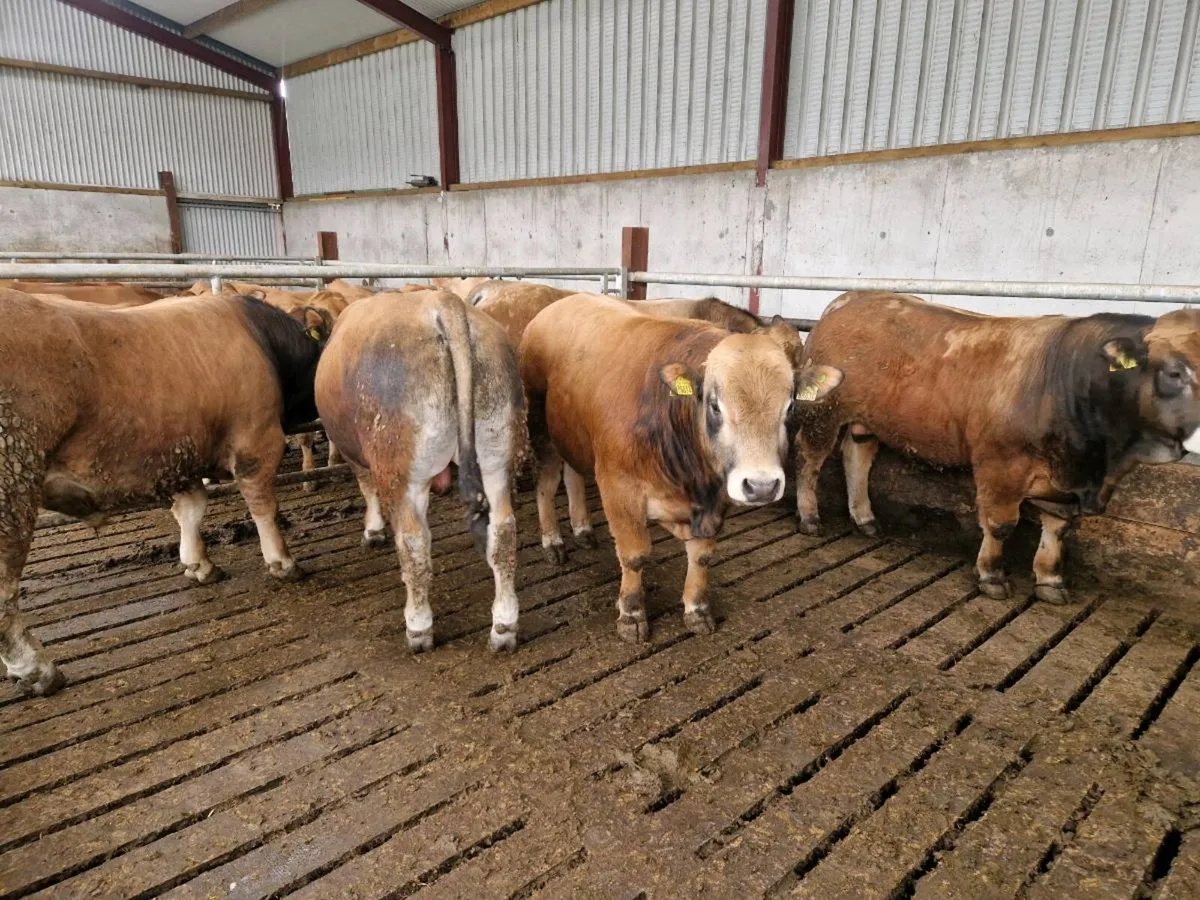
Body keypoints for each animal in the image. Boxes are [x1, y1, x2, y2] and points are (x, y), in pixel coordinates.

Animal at [0, 290, 329, 696]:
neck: (262, 338)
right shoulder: (257, 441)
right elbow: (263, 506)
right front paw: (282, 562)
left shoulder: (181, 453)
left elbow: (191, 509)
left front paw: (197, 564)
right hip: (12, 489)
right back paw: (38, 670)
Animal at [315, 289, 527, 653]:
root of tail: (443, 302)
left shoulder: (355, 455)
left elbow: (367, 489)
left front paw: (373, 531)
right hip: (496, 457)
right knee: (502, 533)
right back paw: (504, 626)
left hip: (403, 472)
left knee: (414, 542)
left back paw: (418, 626)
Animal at [520, 293, 841, 642]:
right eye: (715, 405)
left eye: (791, 405)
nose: (762, 486)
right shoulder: (619, 488)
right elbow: (634, 555)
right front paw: (631, 615)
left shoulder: (716, 499)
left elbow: (701, 556)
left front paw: (696, 609)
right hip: (542, 431)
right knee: (546, 484)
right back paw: (553, 542)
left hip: (573, 435)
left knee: (574, 475)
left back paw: (582, 529)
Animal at [795, 292, 1200, 603]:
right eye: (1174, 372)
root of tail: (851, 299)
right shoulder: (1001, 464)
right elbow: (1002, 524)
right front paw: (991, 576)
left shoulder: (1063, 483)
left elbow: (1058, 528)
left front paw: (1050, 580)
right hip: (823, 413)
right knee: (810, 459)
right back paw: (809, 516)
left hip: (866, 421)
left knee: (857, 457)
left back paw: (865, 518)